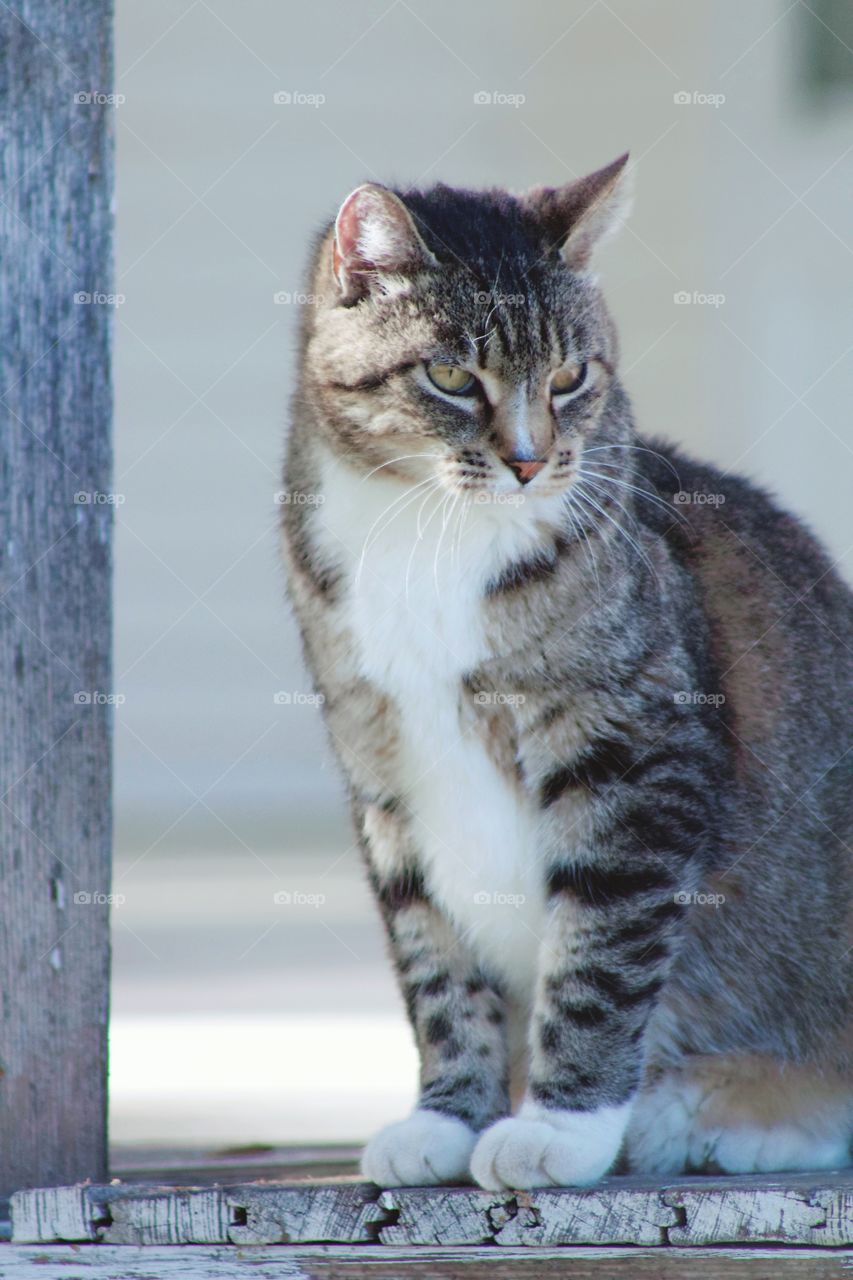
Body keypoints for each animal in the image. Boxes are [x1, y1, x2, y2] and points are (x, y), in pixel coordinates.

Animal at [280, 157, 850, 1187]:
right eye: (451, 375)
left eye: (569, 376)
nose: (528, 461)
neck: (429, 533)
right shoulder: (381, 779)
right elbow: (433, 967)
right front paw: (446, 1117)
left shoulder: (633, 758)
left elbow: (598, 955)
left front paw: (559, 1127)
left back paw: (719, 1112)